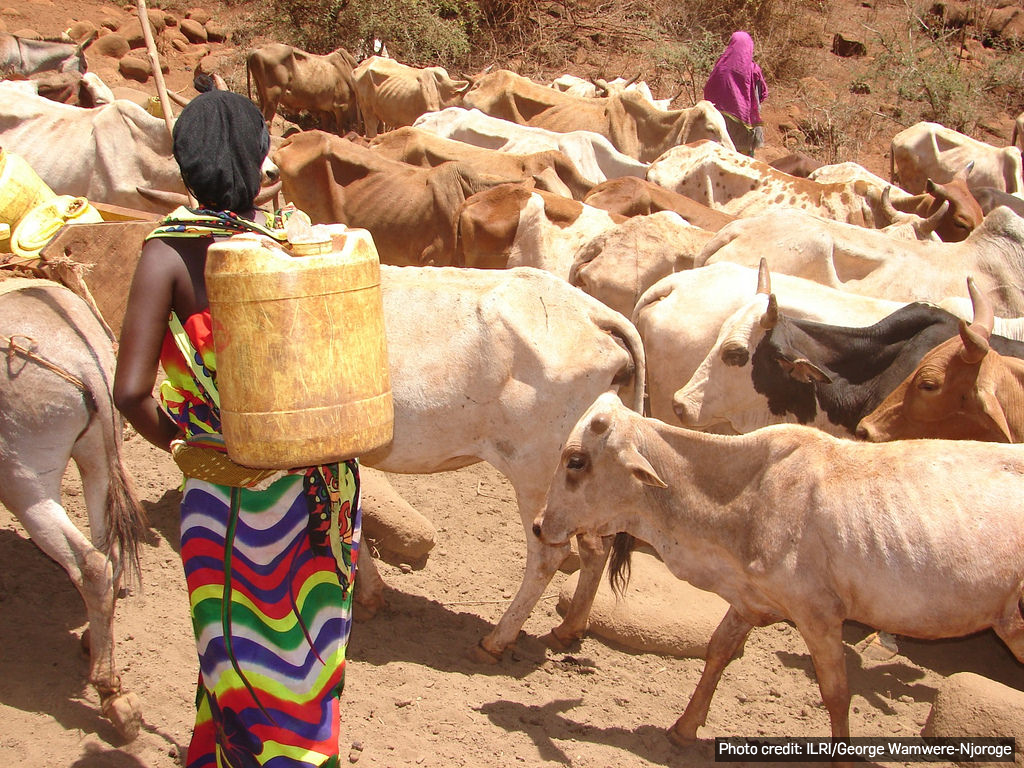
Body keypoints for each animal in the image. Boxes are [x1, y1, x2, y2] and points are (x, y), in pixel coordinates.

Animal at [532, 397, 1024, 753]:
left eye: (576, 461)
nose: (538, 525)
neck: (747, 496)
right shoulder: (749, 599)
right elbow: (717, 650)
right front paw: (684, 728)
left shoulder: (818, 614)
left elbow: (836, 692)